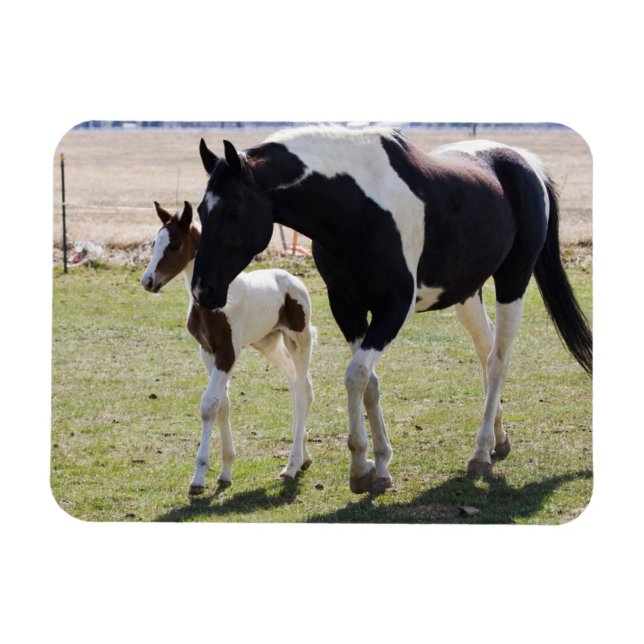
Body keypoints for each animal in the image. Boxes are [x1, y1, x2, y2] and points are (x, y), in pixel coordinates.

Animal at [140, 201, 315, 495]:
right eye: (155, 243)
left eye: (175, 245)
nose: (148, 281)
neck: (210, 303)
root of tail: (293, 280)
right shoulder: (207, 352)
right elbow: (223, 404)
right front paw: (225, 472)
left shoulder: (228, 352)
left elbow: (209, 405)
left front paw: (199, 477)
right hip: (268, 343)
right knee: (296, 384)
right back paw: (304, 457)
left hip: (298, 340)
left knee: (303, 393)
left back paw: (291, 466)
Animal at [190, 125, 592, 495]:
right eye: (200, 212)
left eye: (233, 211)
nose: (202, 291)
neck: (357, 209)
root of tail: (527, 165)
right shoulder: (347, 307)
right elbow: (370, 383)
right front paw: (379, 466)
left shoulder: (393, 309)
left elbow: (355, 376)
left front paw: (359, 467)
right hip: (467, 294)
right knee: (486, 349)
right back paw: (498, 438)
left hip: (513, 281)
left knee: (498, 361)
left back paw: (480, 453)